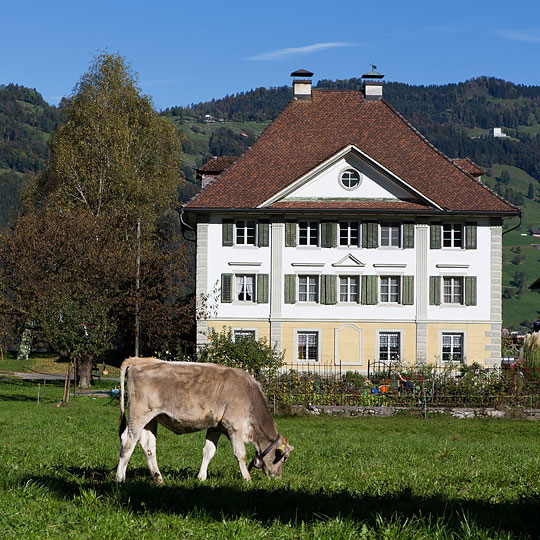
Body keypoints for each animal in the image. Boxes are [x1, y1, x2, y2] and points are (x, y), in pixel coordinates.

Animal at [115, 356, 294, 484]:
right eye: (284, 458)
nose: (277, 478)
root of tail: (138, 361)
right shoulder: (234, 427)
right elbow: (240, 454)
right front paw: (247, 479)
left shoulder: (216, 427)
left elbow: (209, 451)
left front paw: (201, 477)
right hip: (139, 415)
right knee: (128, 442)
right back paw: (120, 478)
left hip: (151, 419)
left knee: (148, 447)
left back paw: (159, 479)